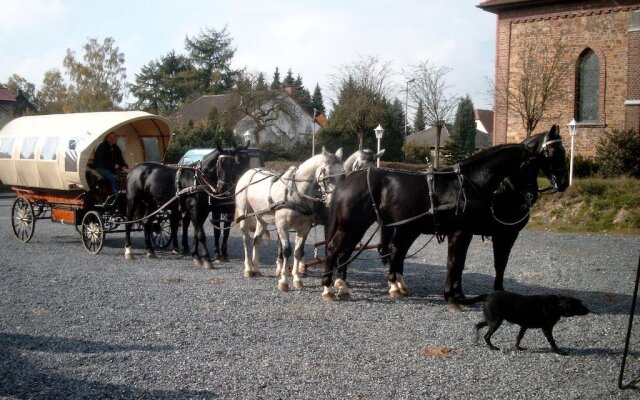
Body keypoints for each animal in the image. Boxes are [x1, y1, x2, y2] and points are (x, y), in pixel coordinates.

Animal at [235, 147, 344, 290]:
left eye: (342, 174)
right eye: (326, 172)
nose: (335, 200)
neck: (297, 194)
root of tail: (249, 172)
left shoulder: (304, 228)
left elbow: (298, 252)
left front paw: (297, 279)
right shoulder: (282, 226)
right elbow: (286, 251)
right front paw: (284, 281)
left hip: (261, 218)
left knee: (256, 240)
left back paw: (256, 269)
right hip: (244, 215)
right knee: (246, 240)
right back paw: (248, 269)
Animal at [322, 125, 568, 306]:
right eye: (551, 154)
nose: (563, 183)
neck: (471, 181)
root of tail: (348, 178)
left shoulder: (469, 232)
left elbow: (463, 263)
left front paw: (459, 294)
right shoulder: (474, 233)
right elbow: (458, 262)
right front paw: (453, 296)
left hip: (388, 227)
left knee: (379, 251)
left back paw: (361, 285)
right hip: (352, 225)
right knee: (336, 249)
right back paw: (328, 287)